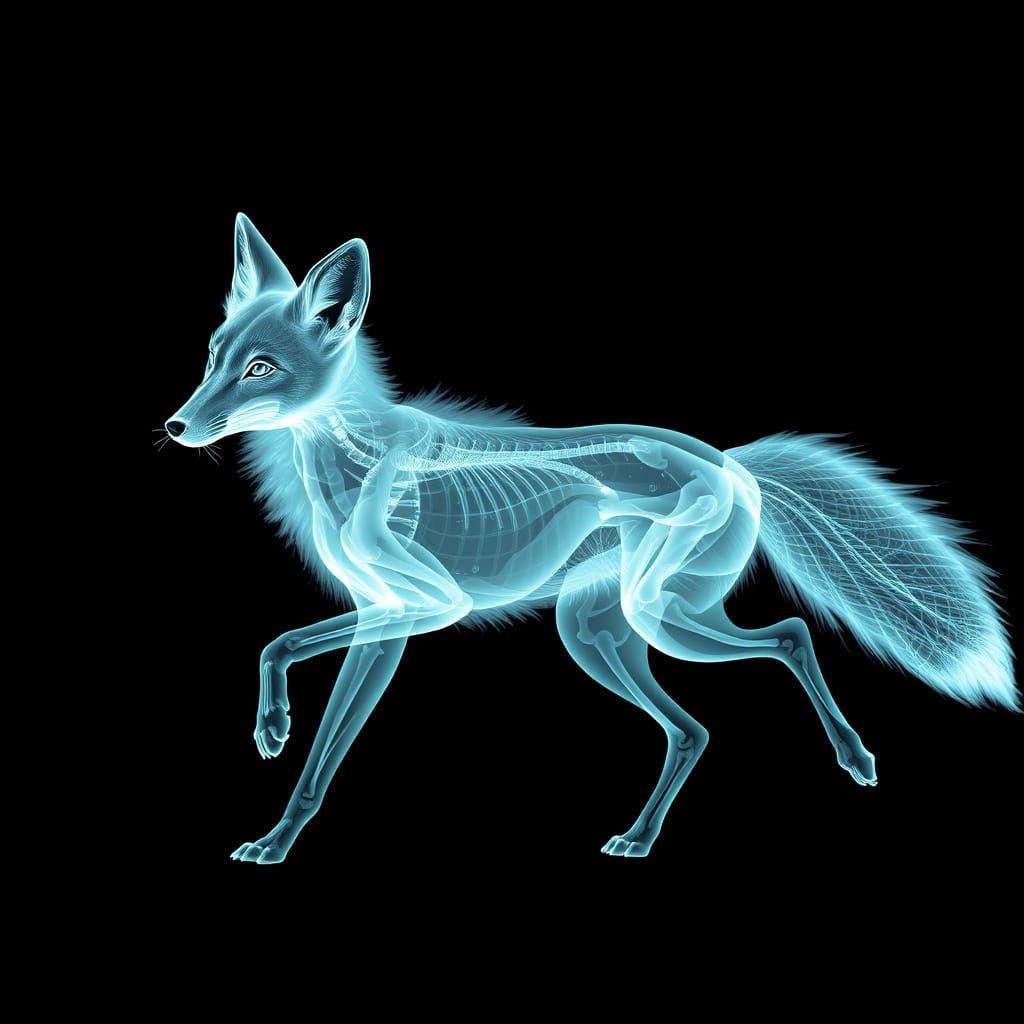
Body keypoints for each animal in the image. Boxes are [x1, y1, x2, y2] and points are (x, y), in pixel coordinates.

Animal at [166, 214, 1018, 864]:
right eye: (212, 358)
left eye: (262, 369)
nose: (175, 427)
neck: (356, 458)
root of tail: (733, 463)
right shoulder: (383, 617)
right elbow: (298, 692)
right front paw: (273, 777)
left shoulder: (418, 609)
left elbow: (299, 692)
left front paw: (275, 792)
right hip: (598, 632)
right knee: (694, 728)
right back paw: (637, 840)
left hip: (657, 619)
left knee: (789, 636)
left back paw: (856, 759)